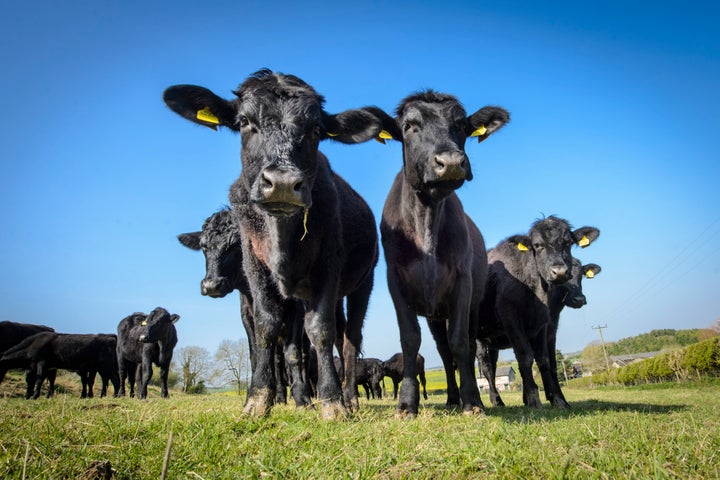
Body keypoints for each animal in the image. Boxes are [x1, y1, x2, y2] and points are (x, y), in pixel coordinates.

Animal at [163, 69, 382, 418]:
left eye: (316, 129)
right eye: (244, 122)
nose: (281, 183)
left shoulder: (326, 266)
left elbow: (318, 331)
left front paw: (329, 401)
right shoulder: (255, 275)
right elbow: (265, 332)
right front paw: (258, 399)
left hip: (364, 281)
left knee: (348, 338)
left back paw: (349, 397)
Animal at [374, 92, 510, 414]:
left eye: (460, 125)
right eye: (410, 126)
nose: (450, 163)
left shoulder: (462, 283)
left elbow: (460, 342)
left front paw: (472, 400)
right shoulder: (395, 281)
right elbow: (410, 339)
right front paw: (406, 404)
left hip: (468, 306)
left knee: (465, 348)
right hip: (435, 315)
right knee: (443, 352)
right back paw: (450, 397)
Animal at [476, 218, 600, 408]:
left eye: (568, 243)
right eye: (537, 245)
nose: (560, 272)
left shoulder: (544, 326)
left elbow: (545, 360)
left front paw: (557, 400)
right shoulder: (511, 319)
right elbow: (526, 357)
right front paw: (534, 399)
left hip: (492, 339)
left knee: (493, 364)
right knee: (486, 366)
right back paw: (496, 400)